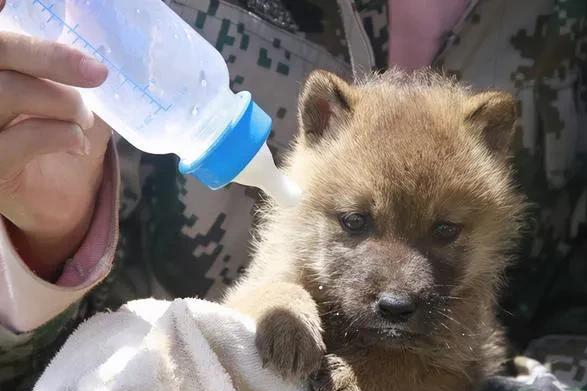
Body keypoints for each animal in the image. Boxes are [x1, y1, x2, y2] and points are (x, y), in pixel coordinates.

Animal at [225, 70, 528, 391]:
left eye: (446, 229)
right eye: (355, 221)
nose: (395, 307)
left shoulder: (460, 366)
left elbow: (404, 362)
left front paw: (351, 372)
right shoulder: (252, 285)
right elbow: (273, 287)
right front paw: (288, 324)